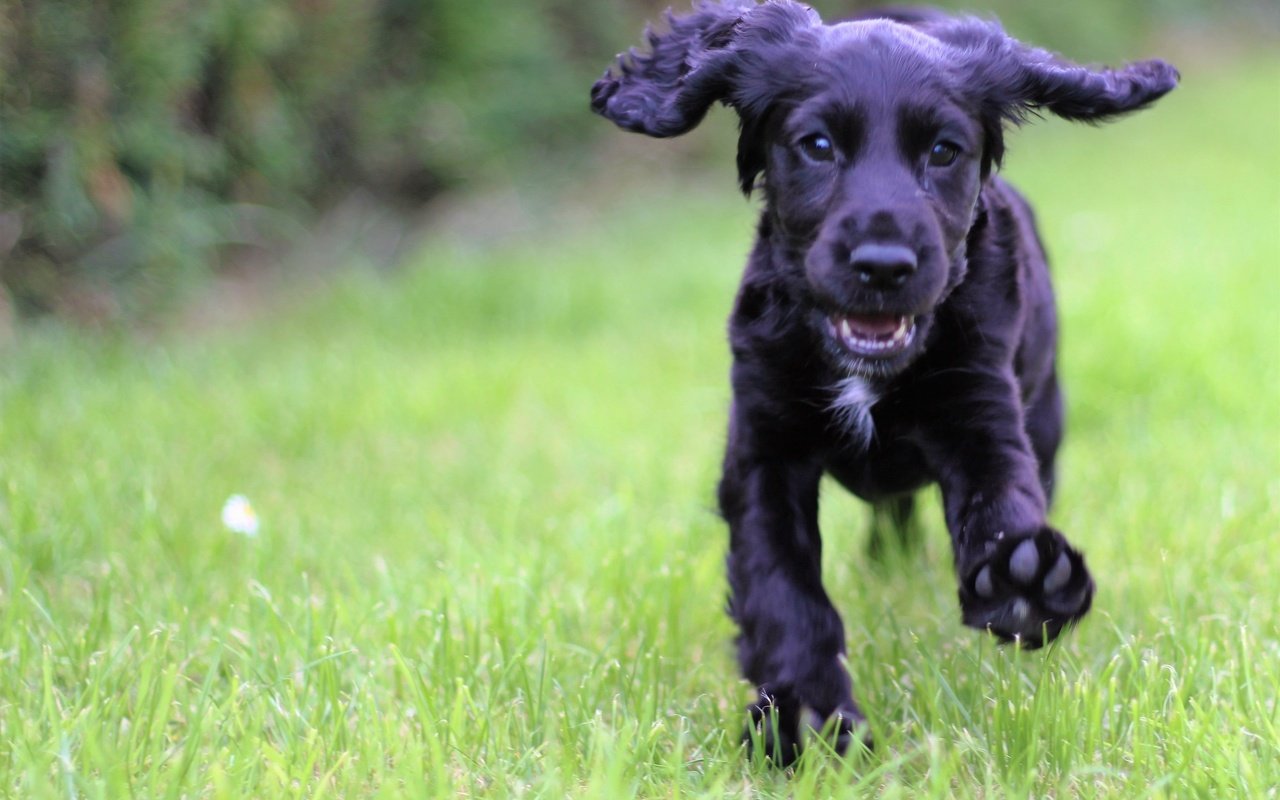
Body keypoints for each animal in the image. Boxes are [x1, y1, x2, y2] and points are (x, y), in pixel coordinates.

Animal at [588, 0, 1177, 762]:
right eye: (815, 145)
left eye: (944, 152)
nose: (883, 264)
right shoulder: (762, 451)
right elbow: (783, 589)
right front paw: (806, 720)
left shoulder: (979, 408)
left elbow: (1000, 499)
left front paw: (1026, 582)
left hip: (1045, 410)